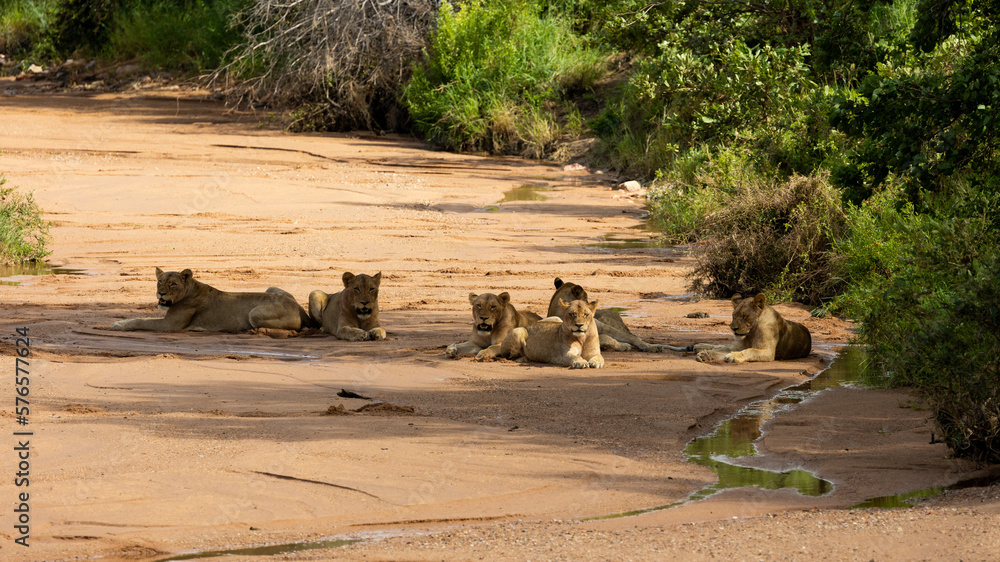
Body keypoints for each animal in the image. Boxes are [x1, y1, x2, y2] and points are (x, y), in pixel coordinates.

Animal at [110, 268, 311, 332]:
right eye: (160, 281)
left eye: (173, 284)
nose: (161, 294)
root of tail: (299, 308)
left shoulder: (170, 325)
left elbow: (141, 321)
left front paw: (118, 325)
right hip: (271, 288)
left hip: (255, 312)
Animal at [547, 278, 690, 353]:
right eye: (587, 298)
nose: (591, 310)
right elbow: (605, 338)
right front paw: (623, 346)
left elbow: (615, 337)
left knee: (633, 336)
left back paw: (654, 347)